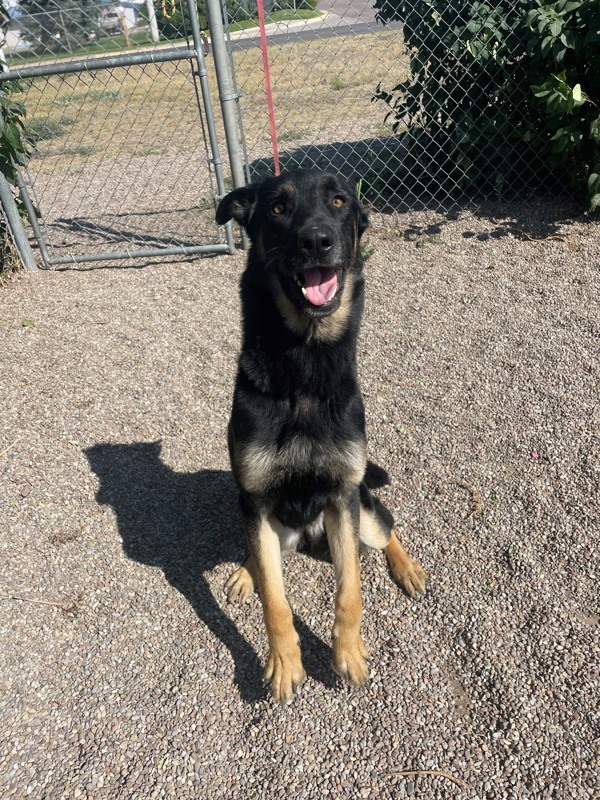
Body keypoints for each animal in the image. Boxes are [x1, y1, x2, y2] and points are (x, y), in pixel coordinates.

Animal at [216, 167, 426, 700]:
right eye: (276, 207)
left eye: (338, 201)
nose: (316, 240)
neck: (303, 365)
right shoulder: (256, 501)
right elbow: (275, 599)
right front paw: (285, 661)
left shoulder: (342, 496)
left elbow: (350, 590)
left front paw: (347, 653)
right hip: (274, 525)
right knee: (261, 555)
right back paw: (245, 572)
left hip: (361, 511)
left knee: (384, 527)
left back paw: (406, 568)